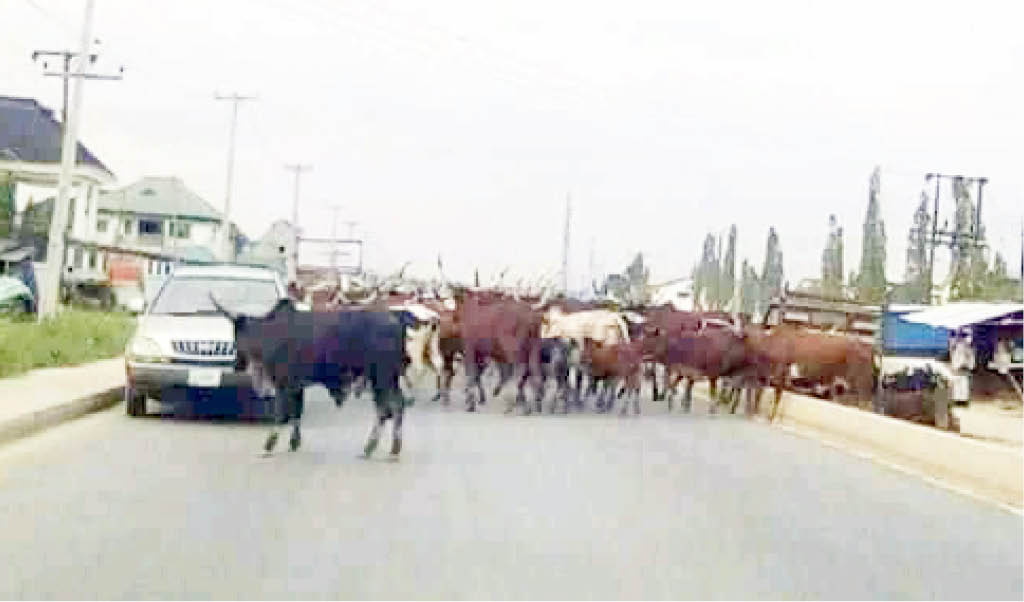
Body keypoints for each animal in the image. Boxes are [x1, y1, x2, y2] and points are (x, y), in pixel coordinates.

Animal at [211, 296, 415, 456]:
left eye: (236, 333)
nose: (236, 363)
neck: (269, 333)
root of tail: (396, 320)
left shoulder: (283, 383)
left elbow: (280, 414)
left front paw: (269, 445)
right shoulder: (296, 385)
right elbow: (296, 413)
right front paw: (294, 442)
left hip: (382, 376)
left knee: (387, 409)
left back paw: (374, 448)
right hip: (387, 378)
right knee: (394, 407)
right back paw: (389, 448)